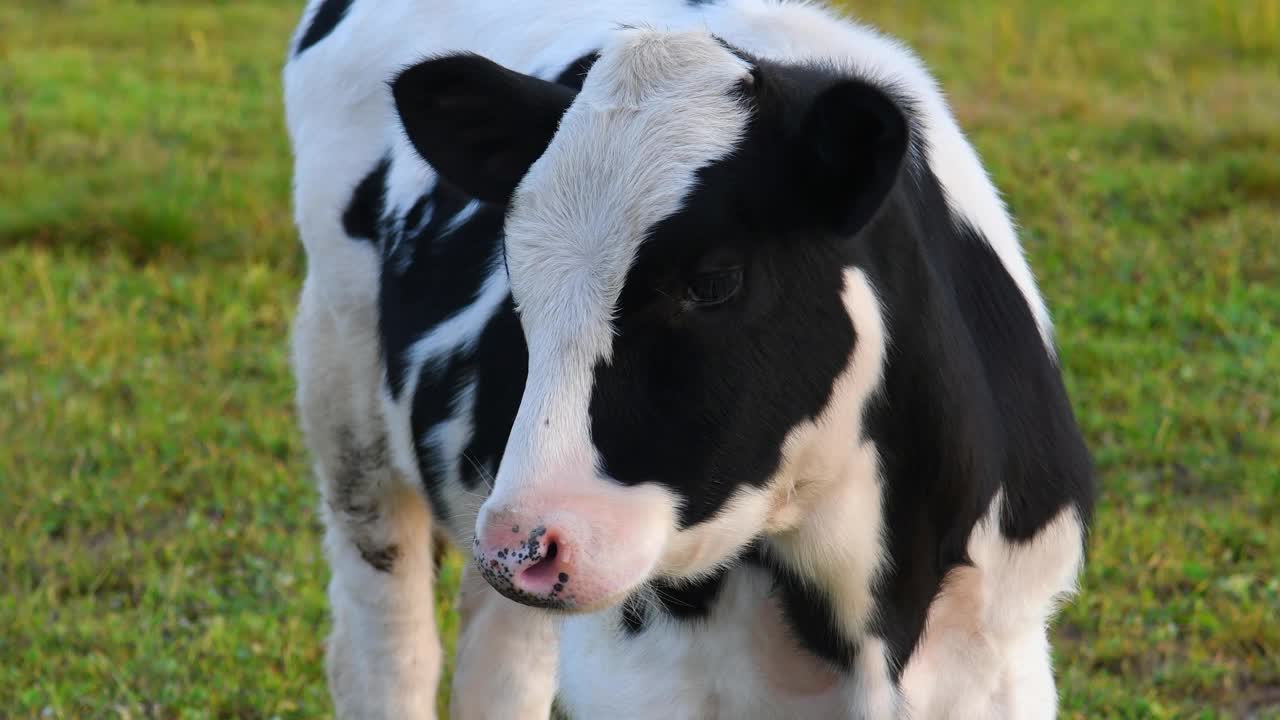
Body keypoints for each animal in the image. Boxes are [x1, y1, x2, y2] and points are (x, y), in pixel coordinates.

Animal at [285, 1, 1095, 717]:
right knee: (386, 644)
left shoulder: (999, 660)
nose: (523, 545)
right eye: (519, 267)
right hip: (348, 402)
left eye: (713, 281)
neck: (871, 620)